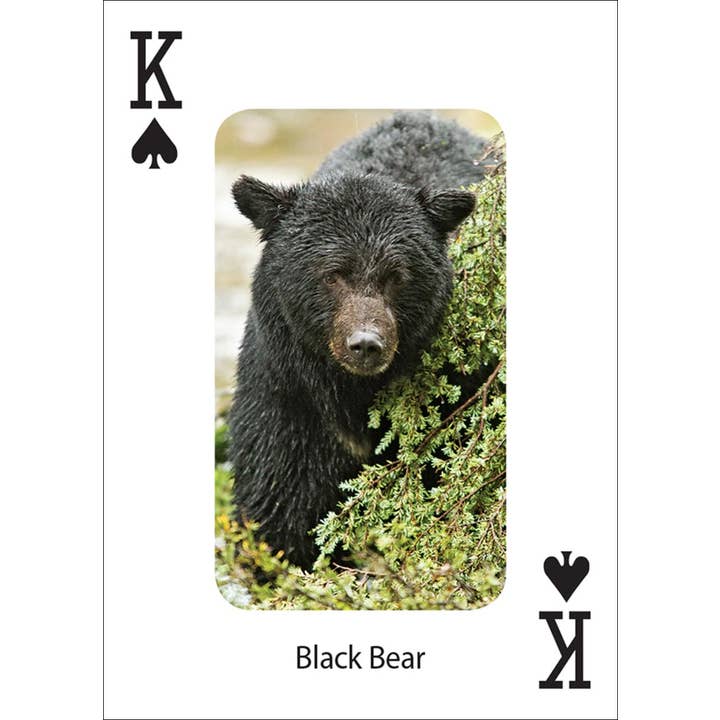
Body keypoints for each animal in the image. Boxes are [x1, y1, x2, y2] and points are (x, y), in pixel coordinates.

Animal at [228, 111, 493, 570]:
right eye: (332, 274)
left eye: (396, 275)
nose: (366, 343)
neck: (351, 393)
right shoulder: (286, 396)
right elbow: (278, 499)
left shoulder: (456, 394)